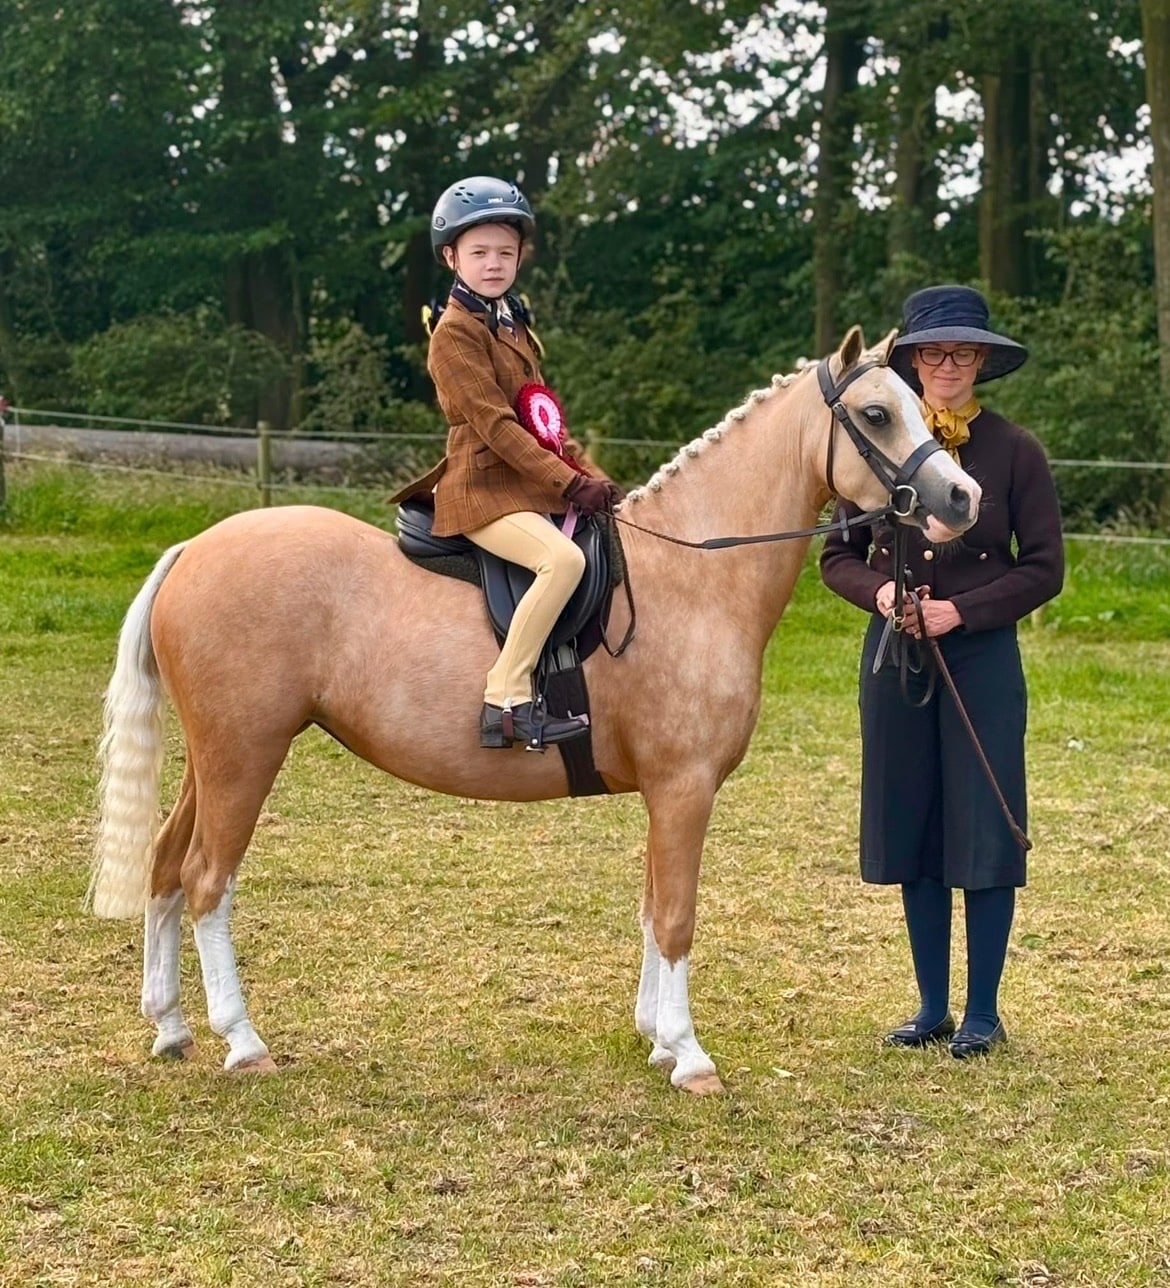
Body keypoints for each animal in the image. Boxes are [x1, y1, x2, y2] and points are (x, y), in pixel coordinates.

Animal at [88, 326, 981, 1094]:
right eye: (877, 414)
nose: (963, 497)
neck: (691, 575)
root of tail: (195, 550)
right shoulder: (685, 787)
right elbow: (677, 916)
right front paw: (689, 1056)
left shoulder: (665, 795)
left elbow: (651, 908)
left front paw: (657, 1040)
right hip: (246, 755)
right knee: (207, 881)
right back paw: (242, 1042)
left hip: (215, 760)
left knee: (165, 866)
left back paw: (171, 1027)